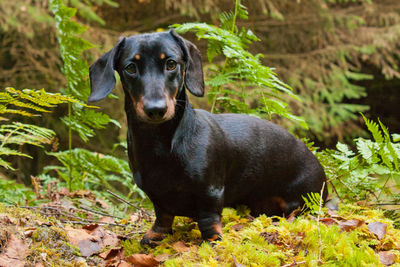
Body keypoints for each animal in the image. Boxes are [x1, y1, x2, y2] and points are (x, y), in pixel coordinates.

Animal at [89, 29, 326, 245]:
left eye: (171, 64)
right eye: (130, 68)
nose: (156, 109)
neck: (160, 144)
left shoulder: (211, 192)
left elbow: (208, 218)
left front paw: (213, 239)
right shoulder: (156, 194)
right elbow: (163, 215)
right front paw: (156, 234)